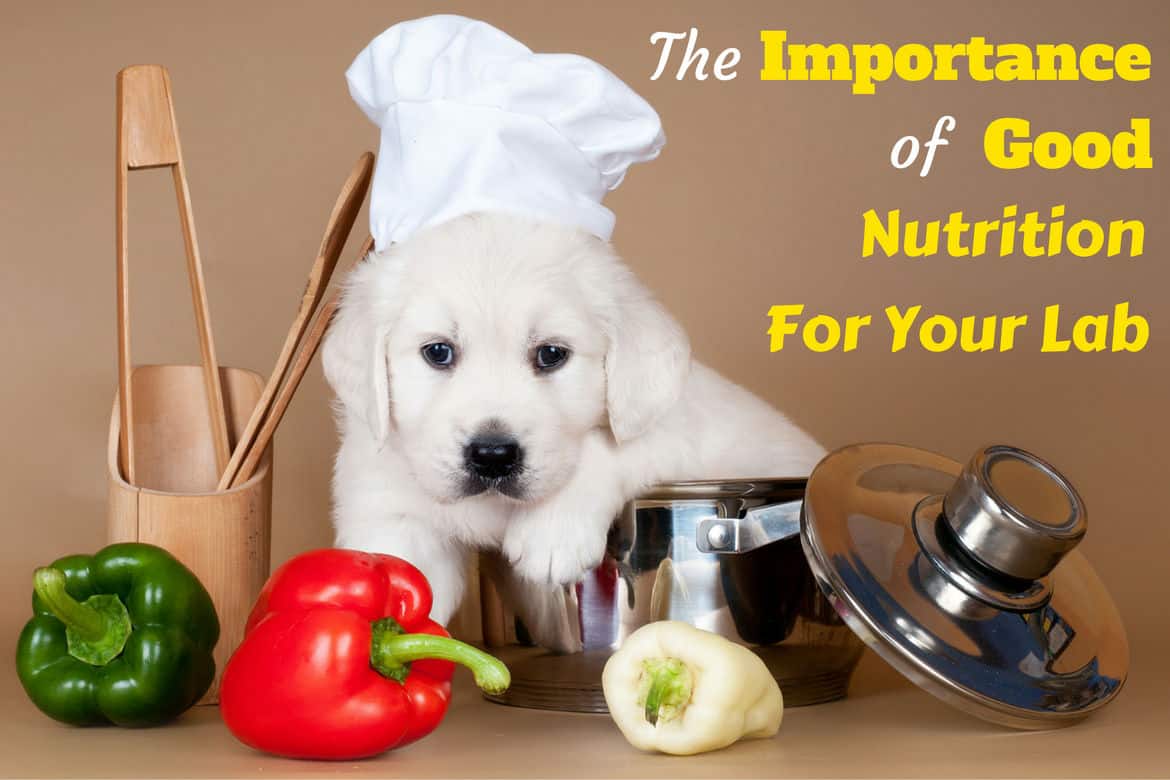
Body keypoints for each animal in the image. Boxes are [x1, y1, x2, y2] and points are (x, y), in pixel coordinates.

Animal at [322, 211, 823, 626]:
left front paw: (550, 533)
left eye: (551, 354)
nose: (492, 455)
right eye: (438, 352)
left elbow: (603, 448)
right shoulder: (389, 505)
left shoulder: (671, 429)